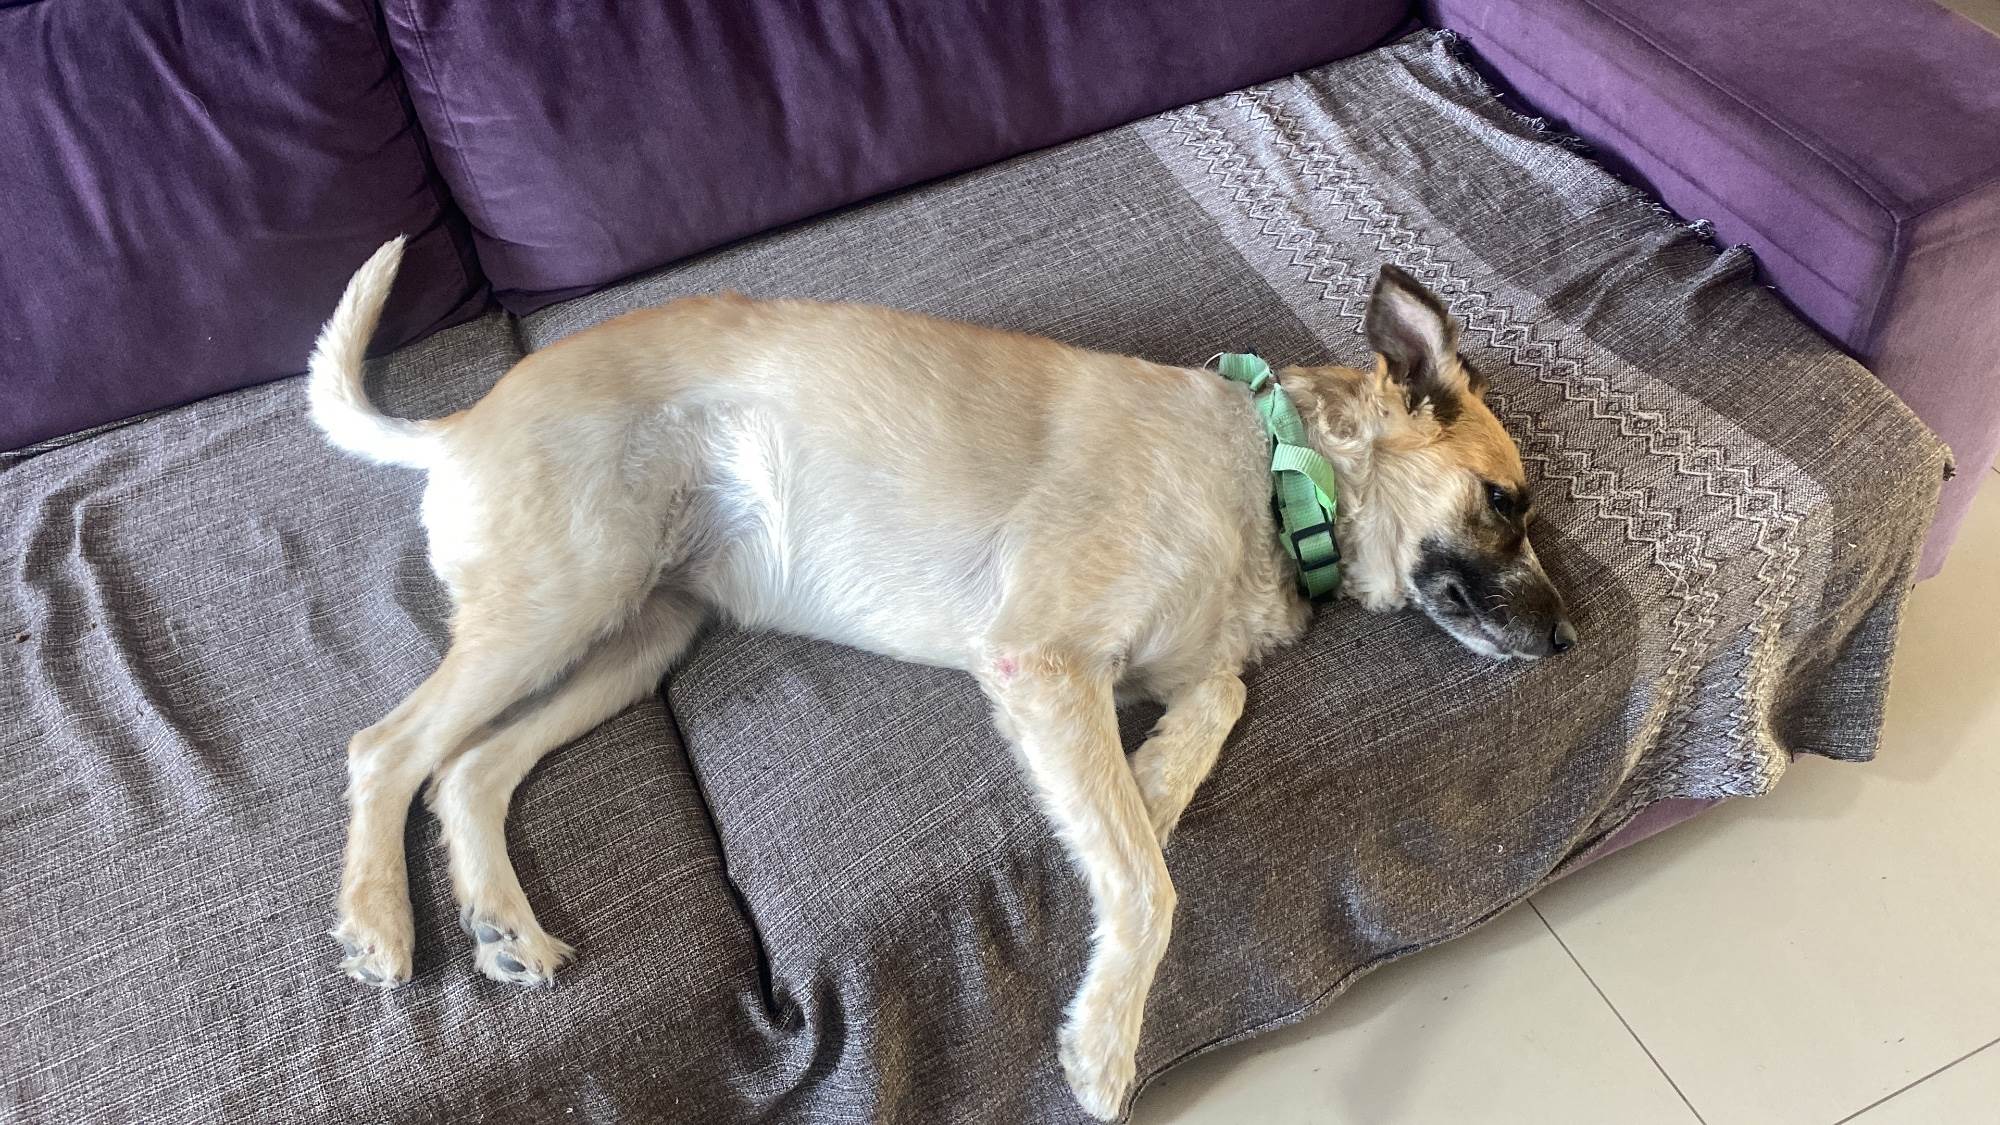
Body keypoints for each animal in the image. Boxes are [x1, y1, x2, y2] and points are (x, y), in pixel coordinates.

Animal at [308, 237, 1574, 1119]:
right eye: (1504, 503)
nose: (1570, 643)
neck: (1273, 472)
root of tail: (456, 425)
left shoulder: (1151, 667)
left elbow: (1210, 713)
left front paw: (1151, 785)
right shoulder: (1044, 658)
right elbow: (1147, 886)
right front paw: (1104, 1040)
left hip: (632, 636)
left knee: (469, 769)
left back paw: (503, 924)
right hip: (563, 597)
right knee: (388, 748)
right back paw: (377, 924)